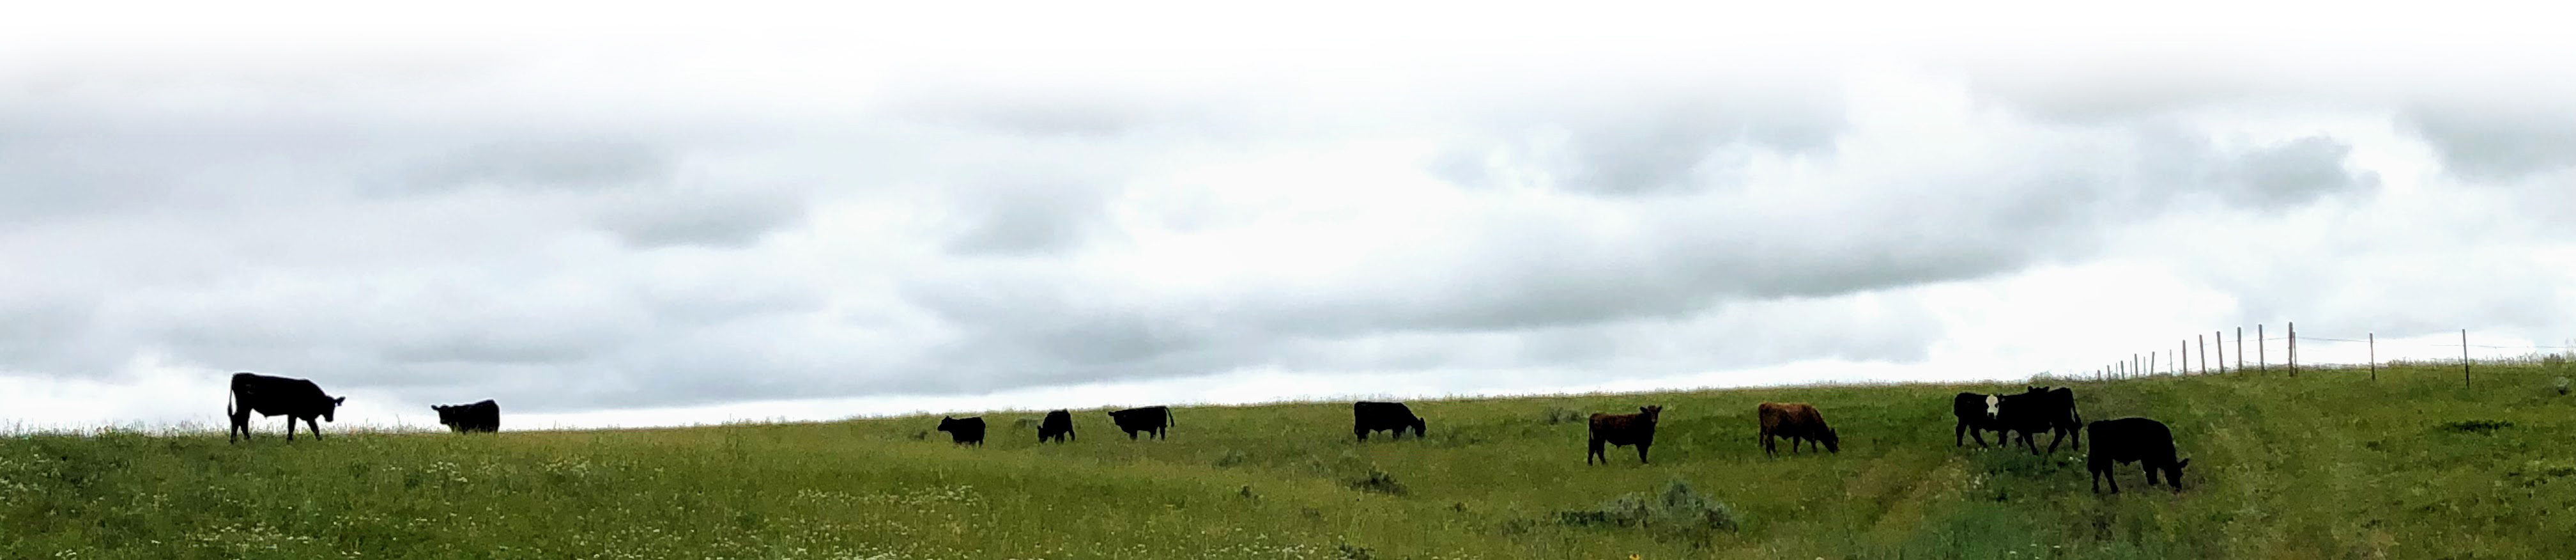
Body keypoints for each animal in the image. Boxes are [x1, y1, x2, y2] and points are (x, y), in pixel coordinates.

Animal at [226, 371, 348, 441]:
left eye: (334, 407)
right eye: (326, 406)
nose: (330, 419)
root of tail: (237, 375)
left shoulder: (300, 415)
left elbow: (312, 429)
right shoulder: (296, 413)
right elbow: (297, 428)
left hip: (246, 406)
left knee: (242, 420)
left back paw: (243, 440)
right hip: (244, 405)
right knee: (238, 419)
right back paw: (236, 440)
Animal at [1349, 402, 1432, 441]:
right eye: (1423, 428)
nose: (1422, 437)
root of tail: (1359, 403)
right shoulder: (1397, 429)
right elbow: (1395, 437)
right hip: (1363, 428)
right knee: (1360, 437)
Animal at [1576, 405, 1659, 467]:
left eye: (1657, 412)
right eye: (1648, 413)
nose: (1654, 420)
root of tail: (1596, 415)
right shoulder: (1641, 442)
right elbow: (1643, 452)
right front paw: (1645, 462)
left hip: (1594, 439)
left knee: (1592, 450)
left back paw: (1590, 464)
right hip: (1600, 439)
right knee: (1599, 451)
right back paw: (1605, 464)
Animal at [1761, 400, 1844, 456]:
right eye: (1834, 440)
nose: (1836, 451)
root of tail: (1765, 405)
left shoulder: (1797, 435)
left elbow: (1796, 444)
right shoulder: (1805, 434)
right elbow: (1811, 442)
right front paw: (1815, 451)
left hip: (1770, 432)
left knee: (1770, 442)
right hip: (1771, 431)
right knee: (1768, 441)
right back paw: (1773, 454)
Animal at [2081, 415, 2184, 495]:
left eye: (2181, 474)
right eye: (2172, 473)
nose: (2179, 488)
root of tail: (2094, 425)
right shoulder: (2148, 460)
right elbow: (2150, 472)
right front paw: (2153, 484)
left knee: (2100, 471)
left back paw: (2100, 490)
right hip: (2102, 457)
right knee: (2103, 471)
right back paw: (2112, 490)